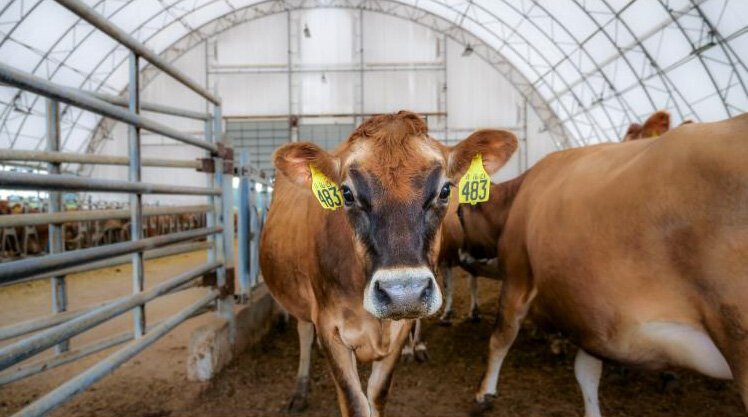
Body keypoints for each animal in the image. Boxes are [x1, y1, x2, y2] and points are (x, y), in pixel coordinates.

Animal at [259, 111, 518, 417]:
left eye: (445, 190)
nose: (404, 293)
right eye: (346, 193)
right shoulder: (329, 327)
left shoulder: (398, 331)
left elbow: (377, 395)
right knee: (303, 331)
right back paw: (300, 390)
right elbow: (355, 402)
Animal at [466, 114, 748, 416]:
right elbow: (586, 373)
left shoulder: (518, 271)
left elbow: (501, 335)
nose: (467, 255)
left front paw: (484, 393)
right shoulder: (591, 312)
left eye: (460, 212)